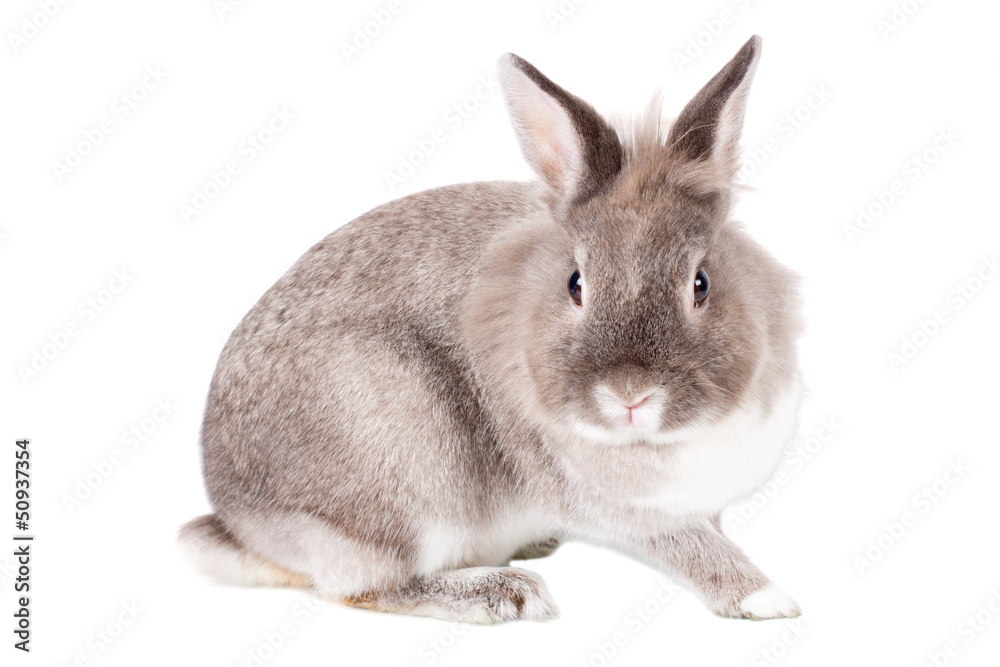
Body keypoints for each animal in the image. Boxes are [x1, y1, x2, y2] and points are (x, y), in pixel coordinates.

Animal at [180, 34, 805, 624]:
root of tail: (241, 526)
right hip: (399, 463)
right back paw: (505, 594)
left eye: (701, 283)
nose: (630, 395)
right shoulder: (621, 509)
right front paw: (768, 599)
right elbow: (690, 546)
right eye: (576, 283)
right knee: (364, 587)